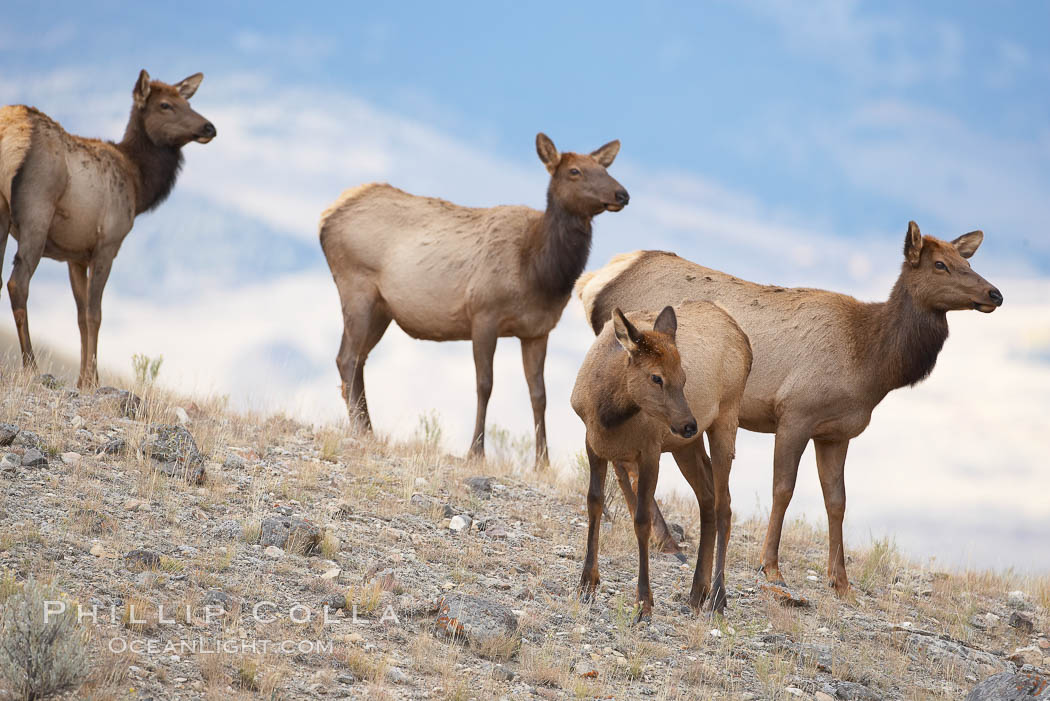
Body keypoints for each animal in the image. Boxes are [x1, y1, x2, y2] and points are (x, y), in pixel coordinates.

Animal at [0, 69, 215, 388]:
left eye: (188, 102)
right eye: (165, 105)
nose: (209, 127)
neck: (139, 185)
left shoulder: (75, 255)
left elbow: (79, 316)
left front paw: (83, 378)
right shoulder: (107, 244)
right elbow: (95, 314)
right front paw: (92, 379)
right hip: (36, 210)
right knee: (18, 282)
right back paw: (31, 365)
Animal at [319, 134, 625, 468]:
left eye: (604, 168)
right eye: (574, 171)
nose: (622, 194)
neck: (538, 272)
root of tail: (326, 216)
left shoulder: (537, 331)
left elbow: (539, 394)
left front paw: (542, 462)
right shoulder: (483, 314)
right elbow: (484, 384)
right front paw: (476, 451)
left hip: (381, 309)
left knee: (357, 359)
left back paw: (368, 429)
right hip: (356, 285)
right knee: (346, 357)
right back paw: (358, 428)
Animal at [571, 304, 751, 617]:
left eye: (684, 377)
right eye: (656, 377)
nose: (689, 424)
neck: (607, 416)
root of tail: (746, 341)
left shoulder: (650, 451)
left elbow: (642, 519)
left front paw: (644, 603)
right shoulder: (592, 443)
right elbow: (594, 503)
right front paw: (586, 585)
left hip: (726, 416)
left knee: (724, 505)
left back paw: (717, 597)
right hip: (685, 446)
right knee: (707, 497)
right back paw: (697, 591)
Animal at [579, 221, 1003, 596]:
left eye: (967, 261)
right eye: (940, 264)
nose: (995, 293)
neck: (871, 365)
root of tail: (595, 283)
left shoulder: (836, 432)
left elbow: (837, 501)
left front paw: (842, 582)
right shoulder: (795, 413)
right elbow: (783, 489)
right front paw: (771, 567)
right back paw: (665, 540)